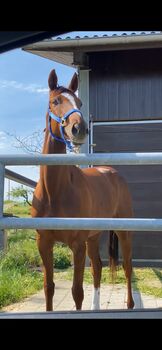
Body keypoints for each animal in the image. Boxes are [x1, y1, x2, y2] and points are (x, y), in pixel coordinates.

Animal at [31, 69, 134, 312]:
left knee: (127, 267)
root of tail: (113, 172)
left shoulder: (77, 245)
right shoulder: (44, 243)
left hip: (124, 231)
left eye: (79, 102)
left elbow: (77, 292)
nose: (79, 129)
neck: (54, 192)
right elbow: (49, 287)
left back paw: (130, 304)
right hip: (94, 236)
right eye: (55, 101)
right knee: (97, 267)